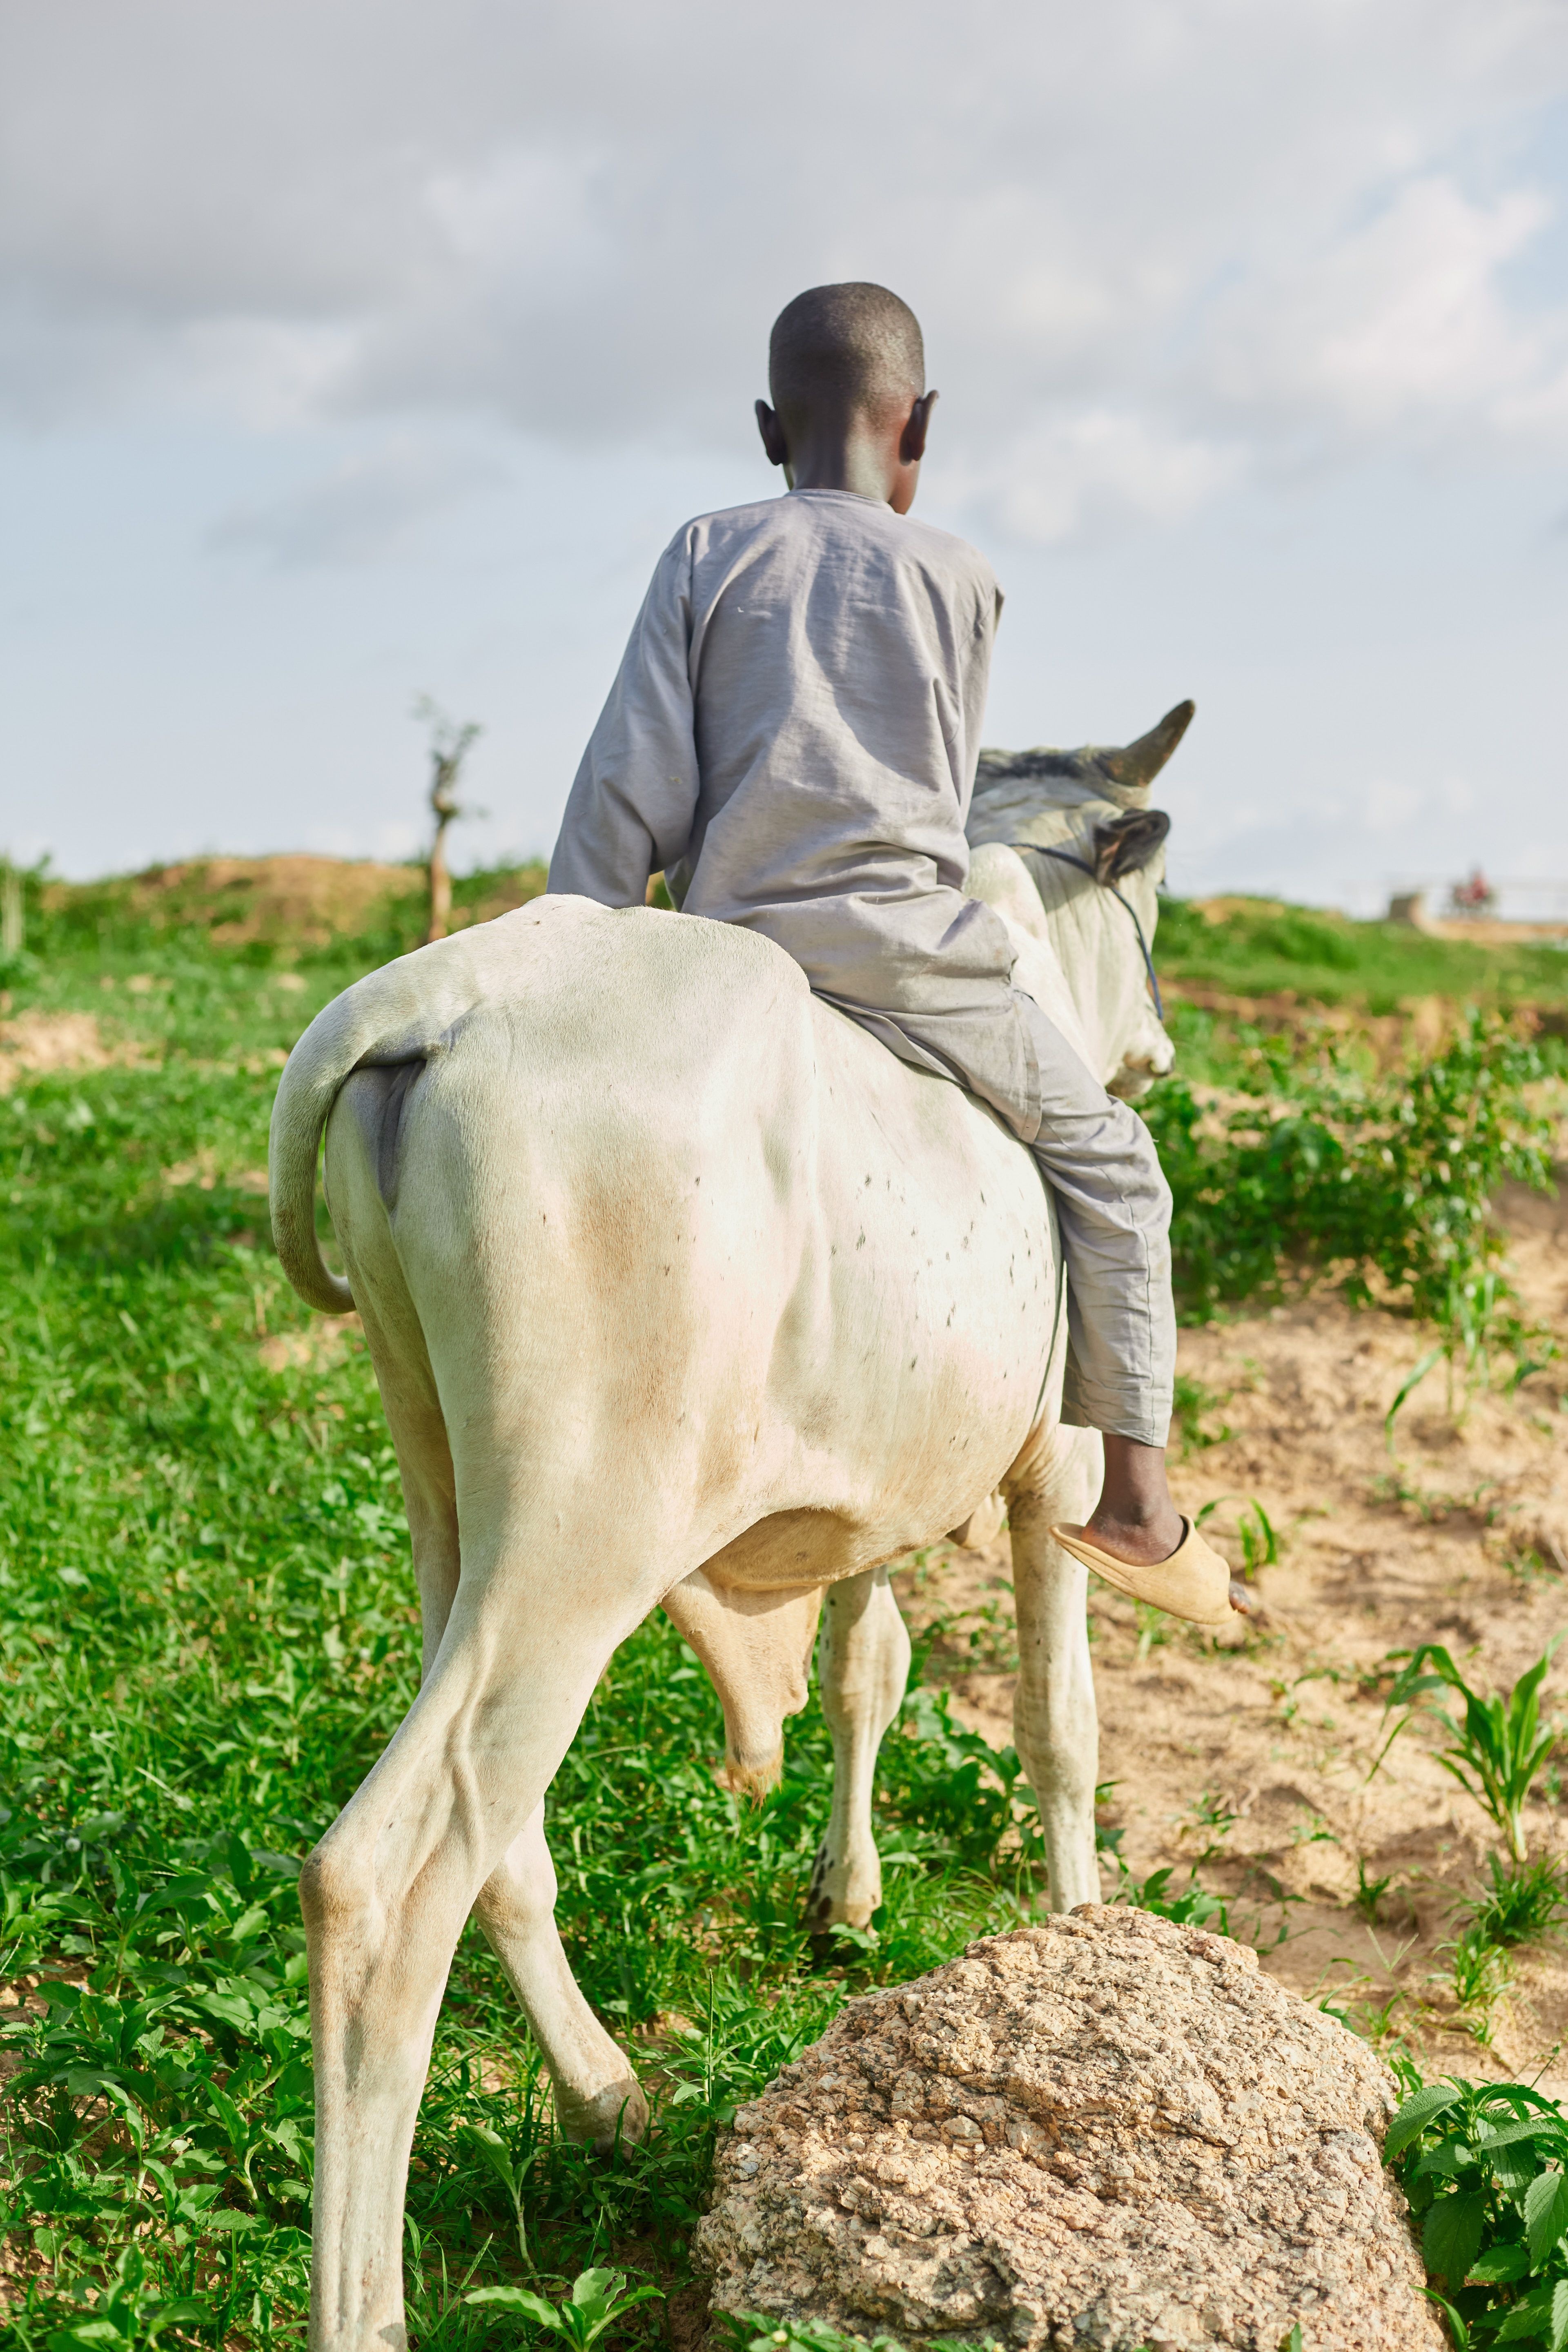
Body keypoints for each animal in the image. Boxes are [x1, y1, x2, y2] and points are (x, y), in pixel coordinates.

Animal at [268, 702, 1190, 2352]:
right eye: (1150, 895)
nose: (1155, 1040)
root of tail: (438, 991)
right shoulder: (1058, 1471)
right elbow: (1062, 1725)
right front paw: (1085, 1940)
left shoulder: (867, 1496)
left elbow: (864, 1675)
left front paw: (846, 1901)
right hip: (581, 1529)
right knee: (382, 1879)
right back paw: (367, 2302)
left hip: (451, 1488)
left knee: (497, 1830)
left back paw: (605, 2095)